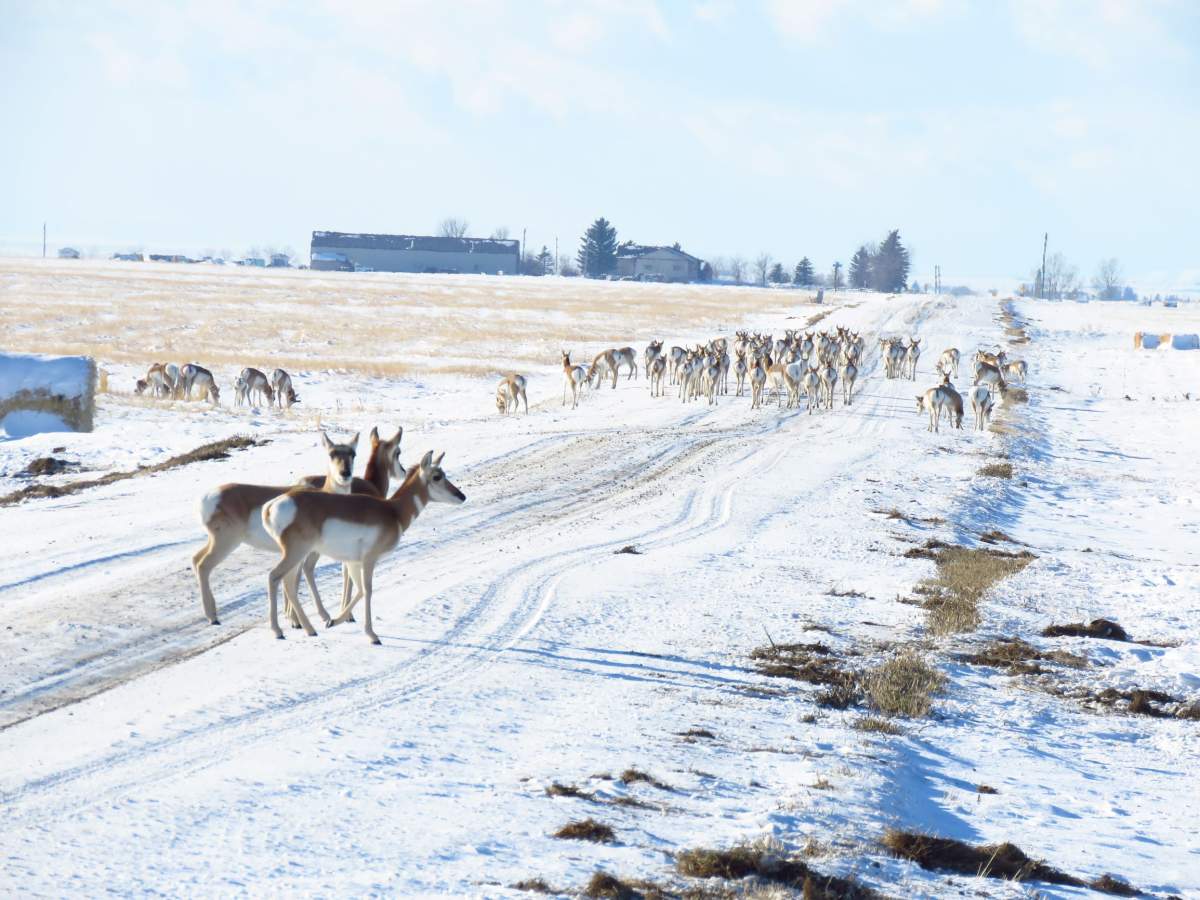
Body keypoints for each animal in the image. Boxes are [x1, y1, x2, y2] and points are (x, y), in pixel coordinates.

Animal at [194, 428, 404, 627]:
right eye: (331, 453)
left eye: (352, 454)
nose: (345, 474)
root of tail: (209, 496)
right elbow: (301, 577)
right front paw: (304, 619)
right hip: (226, 542)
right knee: (204, 565)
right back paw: (213, 617)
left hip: (216, 541)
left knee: (196, 560)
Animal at [263, 451, 466, 643]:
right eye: (437, 476)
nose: (462, 496)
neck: (394, 511)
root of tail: (271, 506)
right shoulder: (369, 560)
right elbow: (368, 590)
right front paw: (372, 635)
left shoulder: (353, 562)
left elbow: (360, 590)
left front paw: (334, 621)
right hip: (296, 553)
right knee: (274, 577)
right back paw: (278, 631)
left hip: (297, 556)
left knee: (288, 584)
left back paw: (310, 629)